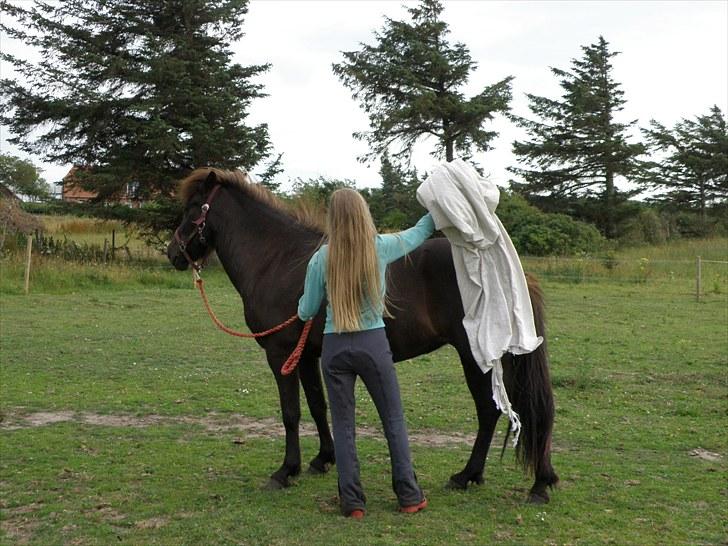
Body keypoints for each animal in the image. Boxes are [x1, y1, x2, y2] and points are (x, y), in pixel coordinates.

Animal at [168, 167, 560, 502]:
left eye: (192, 208)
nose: (173, 253)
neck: (277, 260)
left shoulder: (280, 353)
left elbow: (291, 413)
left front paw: (286, 470)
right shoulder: (305, 354)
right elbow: (317, 405)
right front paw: (322, 459)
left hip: (476, 356)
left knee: (494, 411)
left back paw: (484, 477)